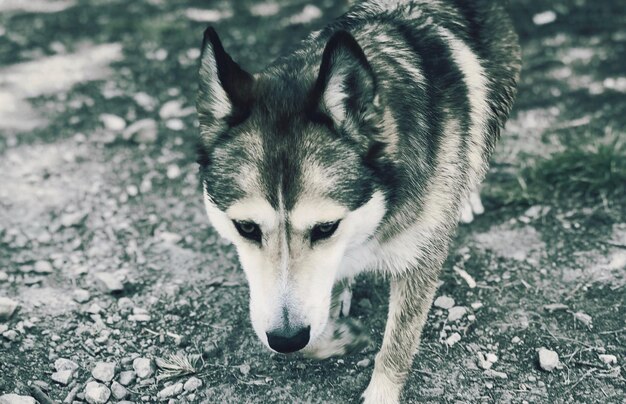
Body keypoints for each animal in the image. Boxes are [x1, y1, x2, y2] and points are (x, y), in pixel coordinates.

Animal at [194, 0, 516, 400]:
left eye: (326, 227)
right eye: (246, 228)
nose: (285, 339)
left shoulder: (420, 262)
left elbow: (398, 343)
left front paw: (381, 392)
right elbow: (316, 327)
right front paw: (337, 337)